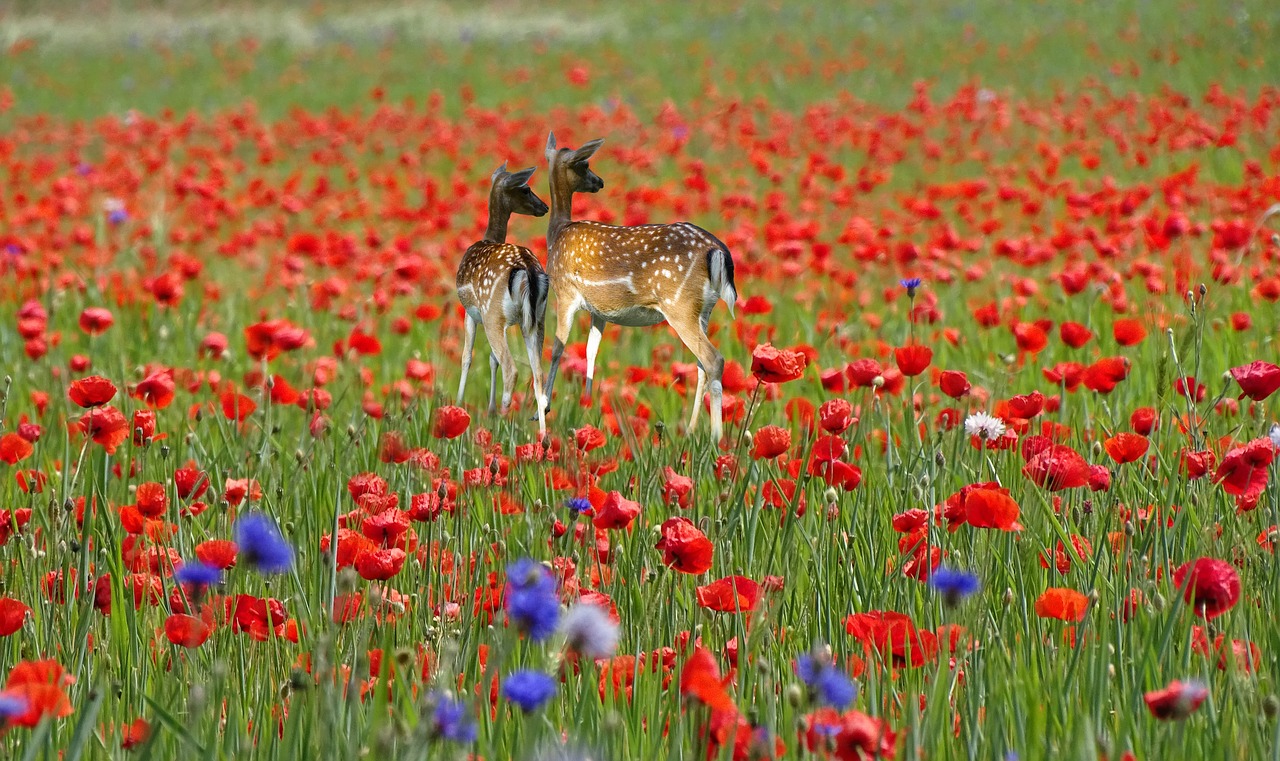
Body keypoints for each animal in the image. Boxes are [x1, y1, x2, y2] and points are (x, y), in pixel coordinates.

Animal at [455, 163, 550, 437]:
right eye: (526, 189)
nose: (544, 206)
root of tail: (526, 267)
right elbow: (490, 359)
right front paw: (488, 408)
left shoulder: (471, 312)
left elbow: (467, 357)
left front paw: (458, 405)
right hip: (537, 319)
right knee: (538, 375)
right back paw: (543, 437)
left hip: (492, 312)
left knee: (512, 369)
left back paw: (504, 412)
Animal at [540, 131, 742, 439]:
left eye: (585, 162)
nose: (599, 182)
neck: (557, 233)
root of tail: (718, 250)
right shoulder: (599, 311)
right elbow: (590, 351)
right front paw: (586, 405)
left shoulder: (565, 292)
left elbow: (557, 349)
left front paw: (544, 406)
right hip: (704, 309)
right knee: (701, 365)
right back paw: (692, 429)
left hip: (679, 304)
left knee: (713, 359)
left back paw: (716, 438)